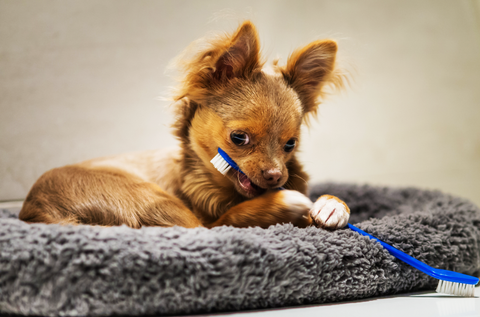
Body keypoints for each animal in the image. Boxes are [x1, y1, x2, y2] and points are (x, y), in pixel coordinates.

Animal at [18, 21, 350, 230]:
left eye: (290, 144)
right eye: (239, 138)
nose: (275, 177)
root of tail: (33, 212)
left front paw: (333, 204)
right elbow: (222, 222)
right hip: (154, 199)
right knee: (210, 228)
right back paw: (280, 205)